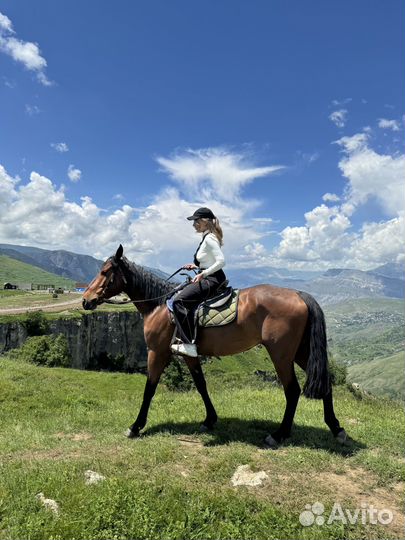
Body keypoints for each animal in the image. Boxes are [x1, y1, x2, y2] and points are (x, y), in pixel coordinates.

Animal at [82, 246, 348, 448]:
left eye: (105, 272)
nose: (86, 300)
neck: (158, 306)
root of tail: (299, 294)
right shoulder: (188, 353)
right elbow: (201, 385)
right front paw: (210, 419)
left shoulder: (156, 352)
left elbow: (149, 389)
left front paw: (135, 426)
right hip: (301, 351)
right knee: (325, 382)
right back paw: (336, 428)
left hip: (281, 354)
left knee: (292, 391)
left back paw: (279, 434)